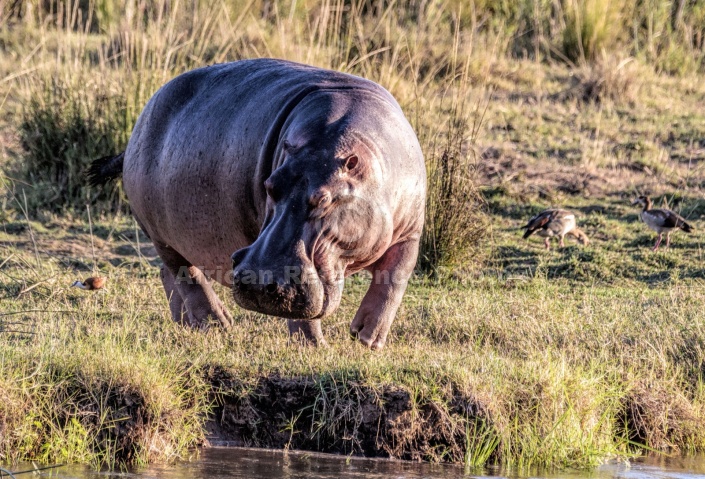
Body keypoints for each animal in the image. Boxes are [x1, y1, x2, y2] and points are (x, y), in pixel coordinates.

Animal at [91, 59, 426, 348]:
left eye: (324, 199)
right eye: (269, 186)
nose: (260, 283)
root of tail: (139, 124)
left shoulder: (411, 231)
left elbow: (395, 278)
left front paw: (367, 339)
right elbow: (303, 314)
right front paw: (312, 346)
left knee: (168, 273)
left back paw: (186, 323)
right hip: (161, 234)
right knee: (186, 274)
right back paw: (217, 324)